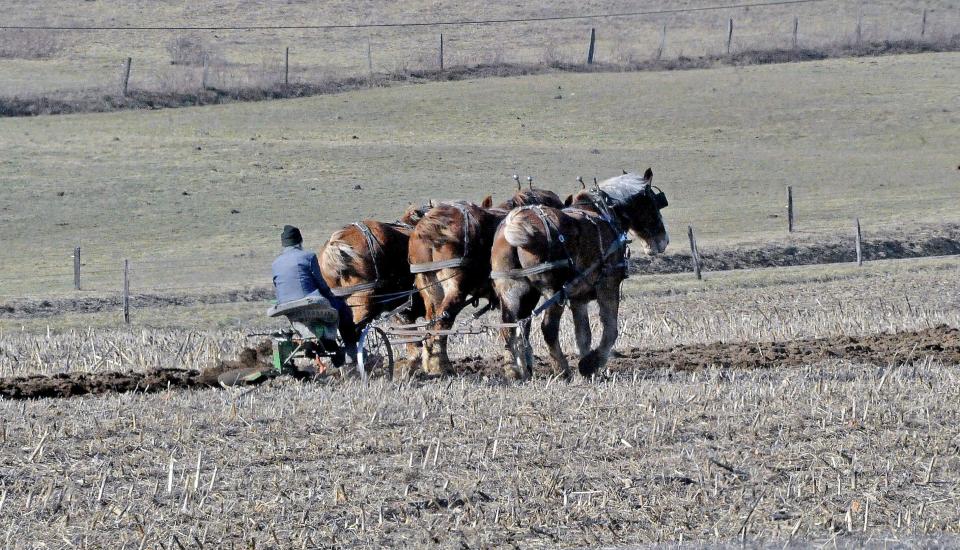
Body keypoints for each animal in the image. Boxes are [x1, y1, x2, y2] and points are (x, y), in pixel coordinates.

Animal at [408, 188, 568, 378]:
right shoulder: (528, 295)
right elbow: (523, 326)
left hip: (430, 289)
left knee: (431, 324)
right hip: (455, 291)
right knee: (441, 324)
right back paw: (441, 367)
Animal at [488, 170, 668, 382]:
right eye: (652, 202)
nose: (663, 241)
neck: (603, 213)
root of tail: (515, 224)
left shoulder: (578, 298)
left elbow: (583, 334)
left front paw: (588, 364)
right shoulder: (608, 285)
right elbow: (610, 329)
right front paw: (590, 364)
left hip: (516, 292)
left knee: (512, 327)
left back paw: (517, 371)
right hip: (554, 292)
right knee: (548, 329)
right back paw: (562, 369)